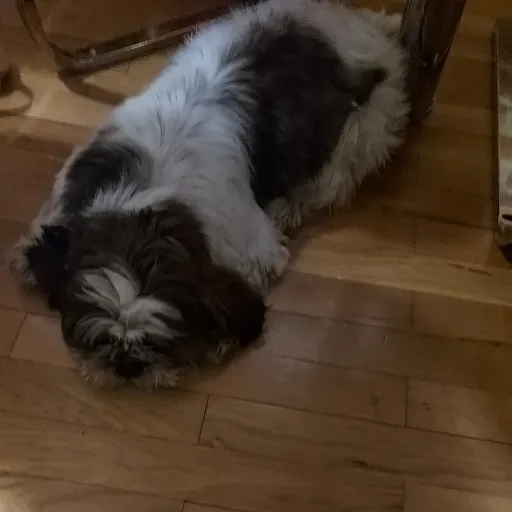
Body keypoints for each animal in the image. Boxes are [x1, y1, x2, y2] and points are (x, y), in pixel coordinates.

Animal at [9, 0, 410, 388]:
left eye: (162, 342)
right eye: (97, 337)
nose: (127, 364)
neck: (146, 194)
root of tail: (362, 27)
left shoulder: (249, 249)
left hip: (362, 132)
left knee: (331, 174)